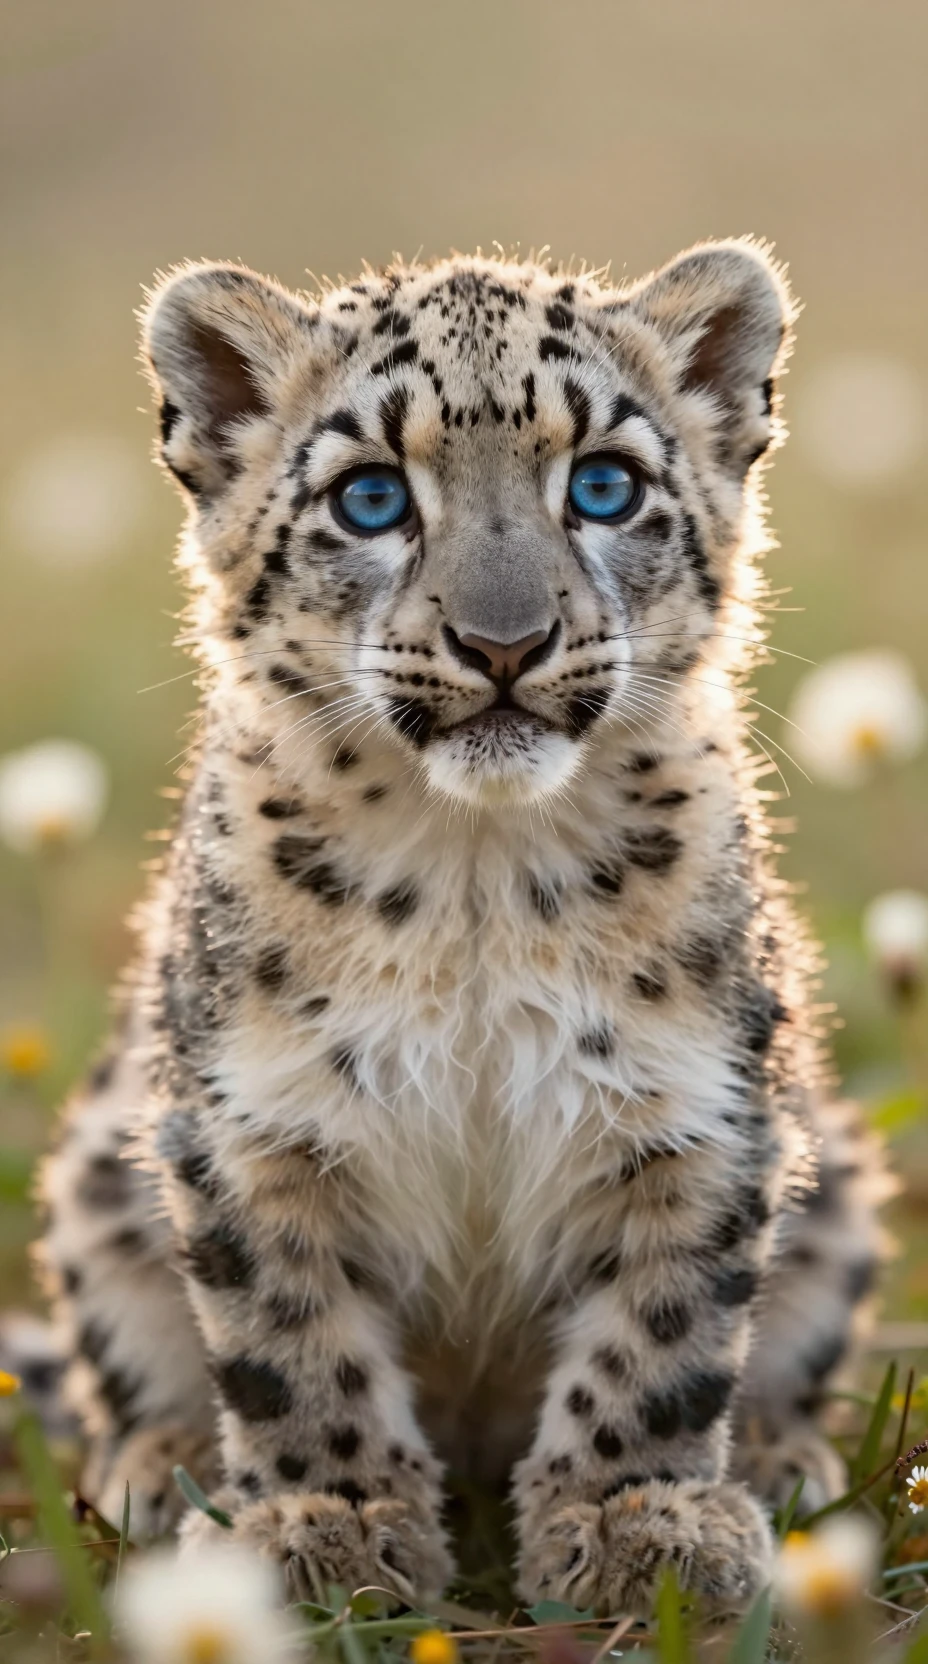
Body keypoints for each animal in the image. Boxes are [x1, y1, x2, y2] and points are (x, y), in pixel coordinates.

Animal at [35, 240, 890, 1617]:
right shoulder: (257, 1118)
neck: (480, 880)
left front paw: (634, 1522)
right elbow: (290, 1339)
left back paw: (778, 1457)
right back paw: (159, 1464)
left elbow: (662, 1331)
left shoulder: (694, 1110)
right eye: (371, 497)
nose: (504, 642)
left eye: (603, 483)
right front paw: (329, 1522)